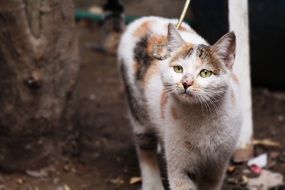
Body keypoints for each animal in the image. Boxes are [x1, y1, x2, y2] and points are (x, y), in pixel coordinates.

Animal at [116, 16, 241, 190]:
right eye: (178, 69)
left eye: (205, 73)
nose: (186, 82)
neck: (202, 116)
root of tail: (140, 21)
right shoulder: (179, 165)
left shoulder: (218, 164)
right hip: (137, 106)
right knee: (145, 146)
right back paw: (152, 184)